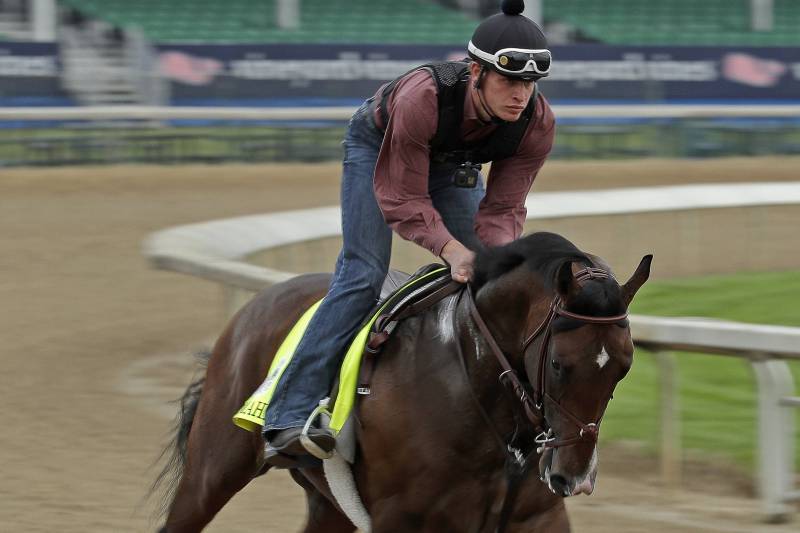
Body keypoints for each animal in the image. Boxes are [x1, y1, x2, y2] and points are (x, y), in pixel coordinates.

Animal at [150, 232, 648, 532]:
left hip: (327, 503)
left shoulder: (535, 516)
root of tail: (253, 307)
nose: (574, 477)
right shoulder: (402, 518)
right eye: (560, 365)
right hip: (214, 469)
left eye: (624, 367)